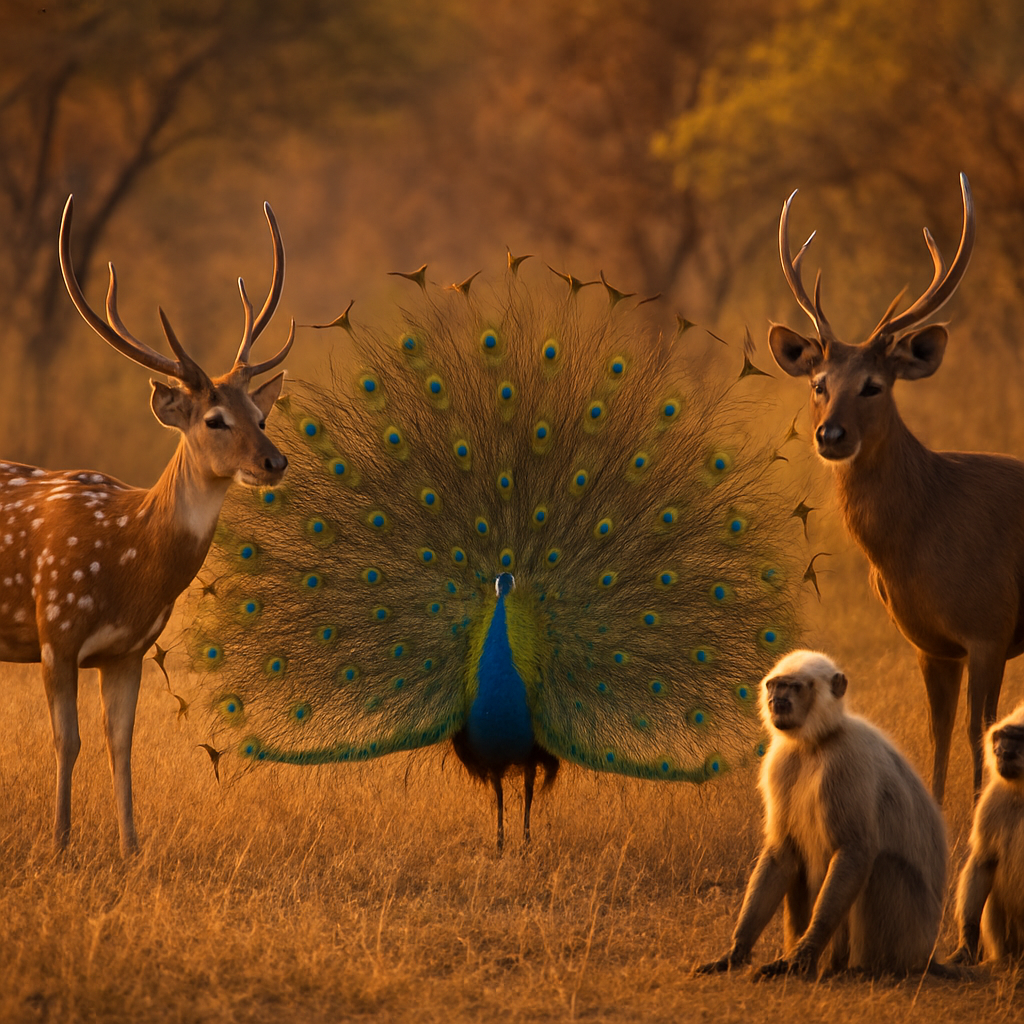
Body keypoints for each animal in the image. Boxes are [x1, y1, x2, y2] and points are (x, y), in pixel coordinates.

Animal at [0, 195, 295, 856]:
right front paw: (60, 842)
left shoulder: (129, 650)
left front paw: (131, 846)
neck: (126, 558)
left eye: (260, 413)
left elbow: (120, 743)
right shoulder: (55, 629)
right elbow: (68, 741)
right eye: (214, 419)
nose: (274, 461)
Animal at [766, 173, 1024, 804]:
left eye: (874, 385)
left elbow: (979, 732)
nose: (830, 435)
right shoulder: (928, 642)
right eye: (818, 382)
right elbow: (938, 734)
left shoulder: (990, 624)